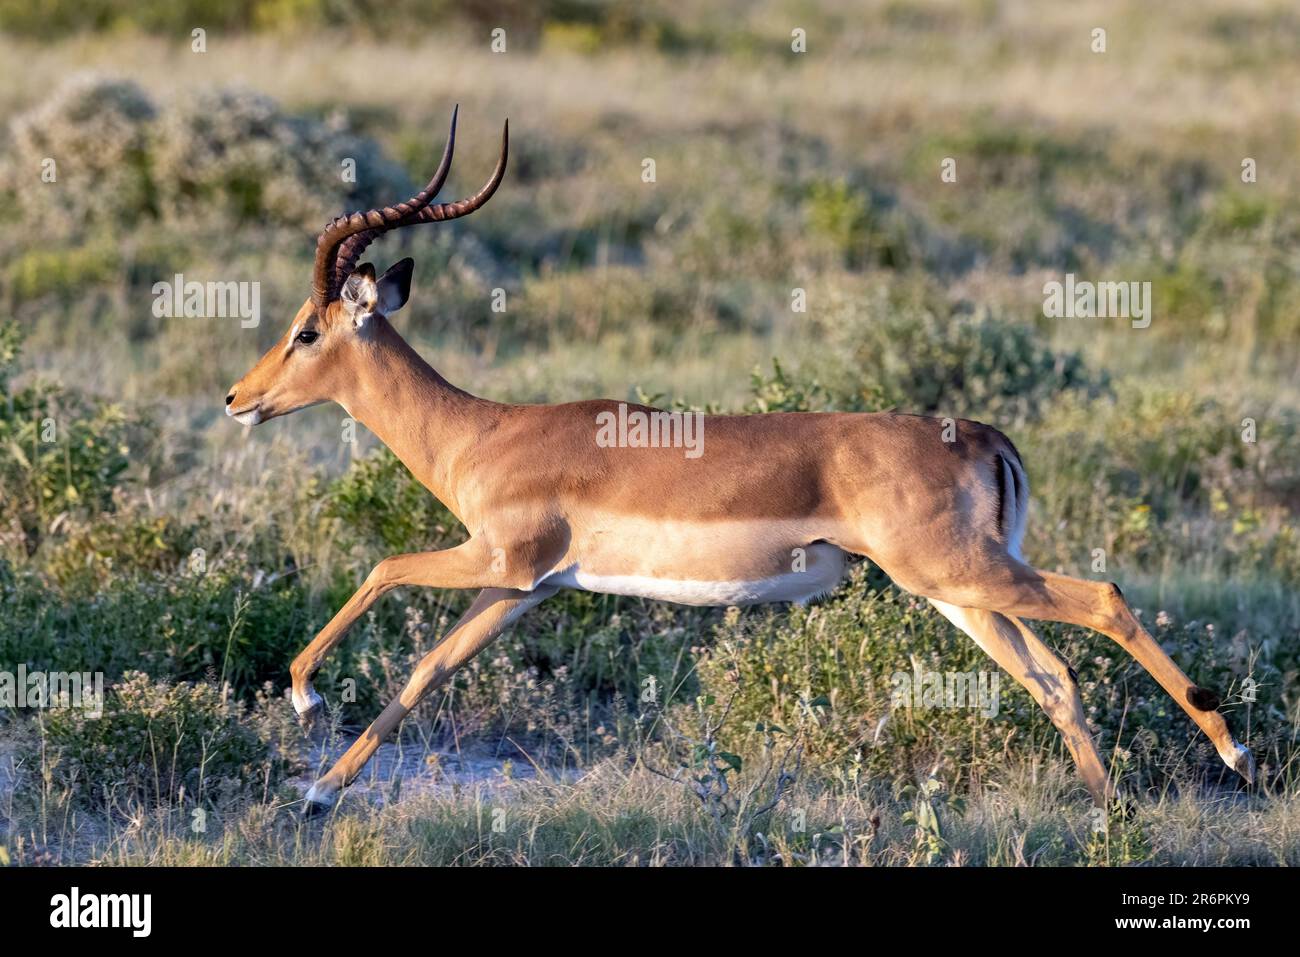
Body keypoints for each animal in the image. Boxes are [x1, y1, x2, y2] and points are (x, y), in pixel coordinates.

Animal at [226, 109, 1254, 814]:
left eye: (305, 328)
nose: (238, 399)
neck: (483, 432)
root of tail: (981, 433)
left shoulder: (499, 559)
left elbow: (381, 566)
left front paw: (304, 700)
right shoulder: (525, 588)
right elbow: (423, 672)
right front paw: (318, 793)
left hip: (959, 572)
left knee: (1105, 600)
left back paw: (1232, 754)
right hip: (957, 589)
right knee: (1055, 677)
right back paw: (1109, 812)